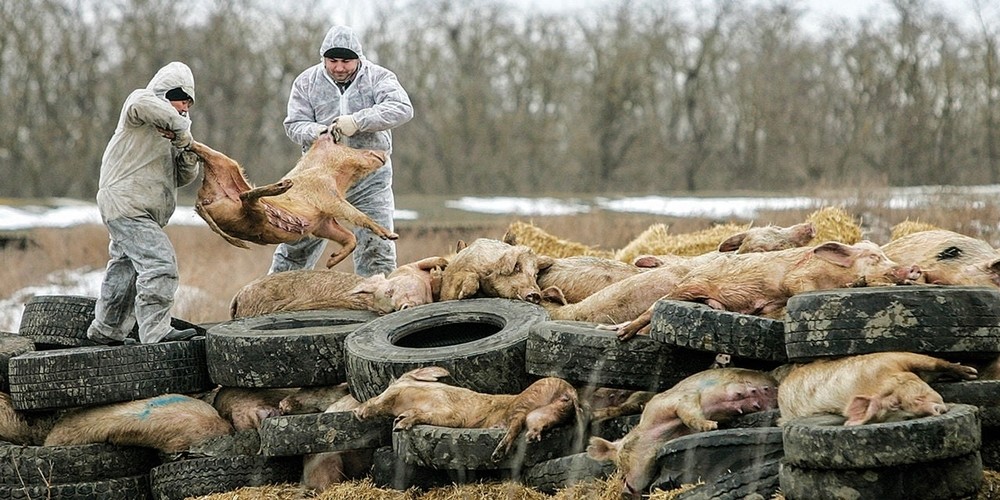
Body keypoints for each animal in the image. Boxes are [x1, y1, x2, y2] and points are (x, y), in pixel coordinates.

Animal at [354, 366, 584, 458]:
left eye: (389, 388)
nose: (356, 410)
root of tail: (569, 391)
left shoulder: (450, 412)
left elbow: (428, 415)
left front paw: (399, 424)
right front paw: (399, 420)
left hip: (527, 400)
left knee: (515, 424)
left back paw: (497, 453)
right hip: (545, 413)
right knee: (532, 426)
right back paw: (529, 438)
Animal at [588, 368, 776, 496]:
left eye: (622, 461)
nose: (625, 492)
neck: (666, 433)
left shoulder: (675, 399)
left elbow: (687, 412)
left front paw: (711, 426)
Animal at [780, 352, 976, 426]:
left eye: (897, 402)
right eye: (903, 413)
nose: (935, 410)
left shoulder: (889, 357)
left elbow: (934, 362)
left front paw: (971, 373)